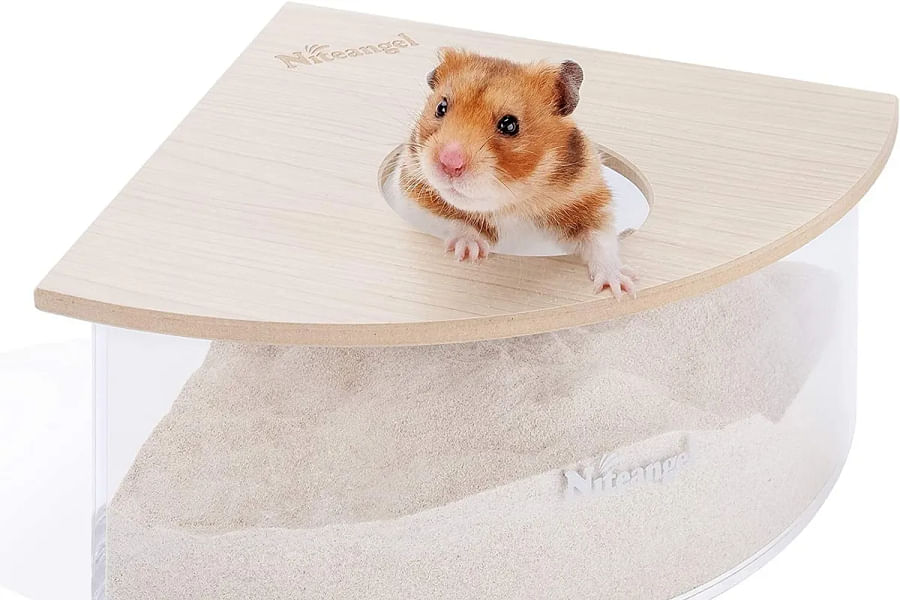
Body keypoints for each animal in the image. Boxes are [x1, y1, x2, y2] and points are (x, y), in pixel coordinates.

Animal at [399, 49, 636, 299]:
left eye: (510, 125)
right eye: (441, 108)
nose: (449, 163)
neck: (512, 201)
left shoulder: (589, 198)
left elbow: (600, 239)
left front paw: (621, 289)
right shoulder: (413, 189)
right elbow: (453, 220)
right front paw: (469, 252)